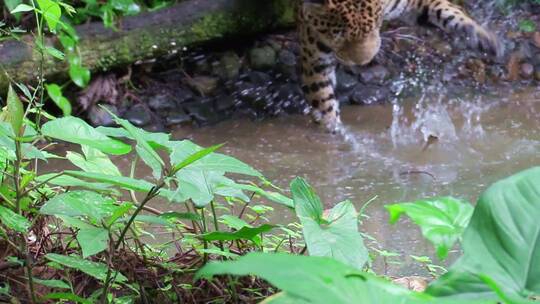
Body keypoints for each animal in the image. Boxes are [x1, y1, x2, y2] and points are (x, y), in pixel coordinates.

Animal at [296, 0, 502, 132]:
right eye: (338, 34)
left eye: (376, 25)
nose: (362, 62)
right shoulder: (315, 54)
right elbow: (322, 96)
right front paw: (334, 131)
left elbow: (445, 9)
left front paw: (483, 37)